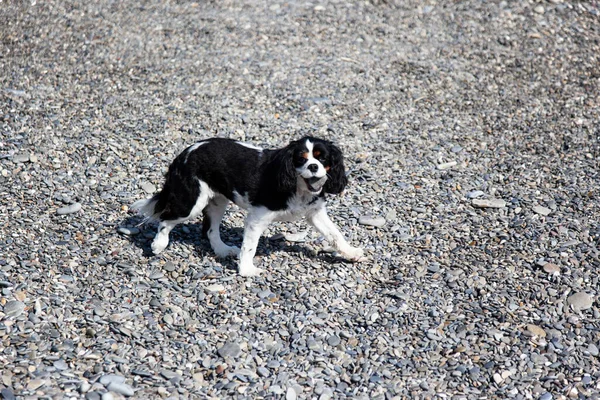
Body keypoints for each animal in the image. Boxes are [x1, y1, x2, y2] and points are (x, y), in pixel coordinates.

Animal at [132, 136, 366, 276]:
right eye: (301, 159)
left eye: (322, 158)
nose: (313, 167)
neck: (298, 187)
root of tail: (183, 153)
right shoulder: (257, 218)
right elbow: (250, 246)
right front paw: (246, 270)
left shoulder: (315, 213)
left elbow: (335, 234)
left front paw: (351, 253)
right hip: (192, 201)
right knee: (166, 218)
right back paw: (159, 244)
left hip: (217, 201)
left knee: (209, 229)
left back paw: (223, 250)